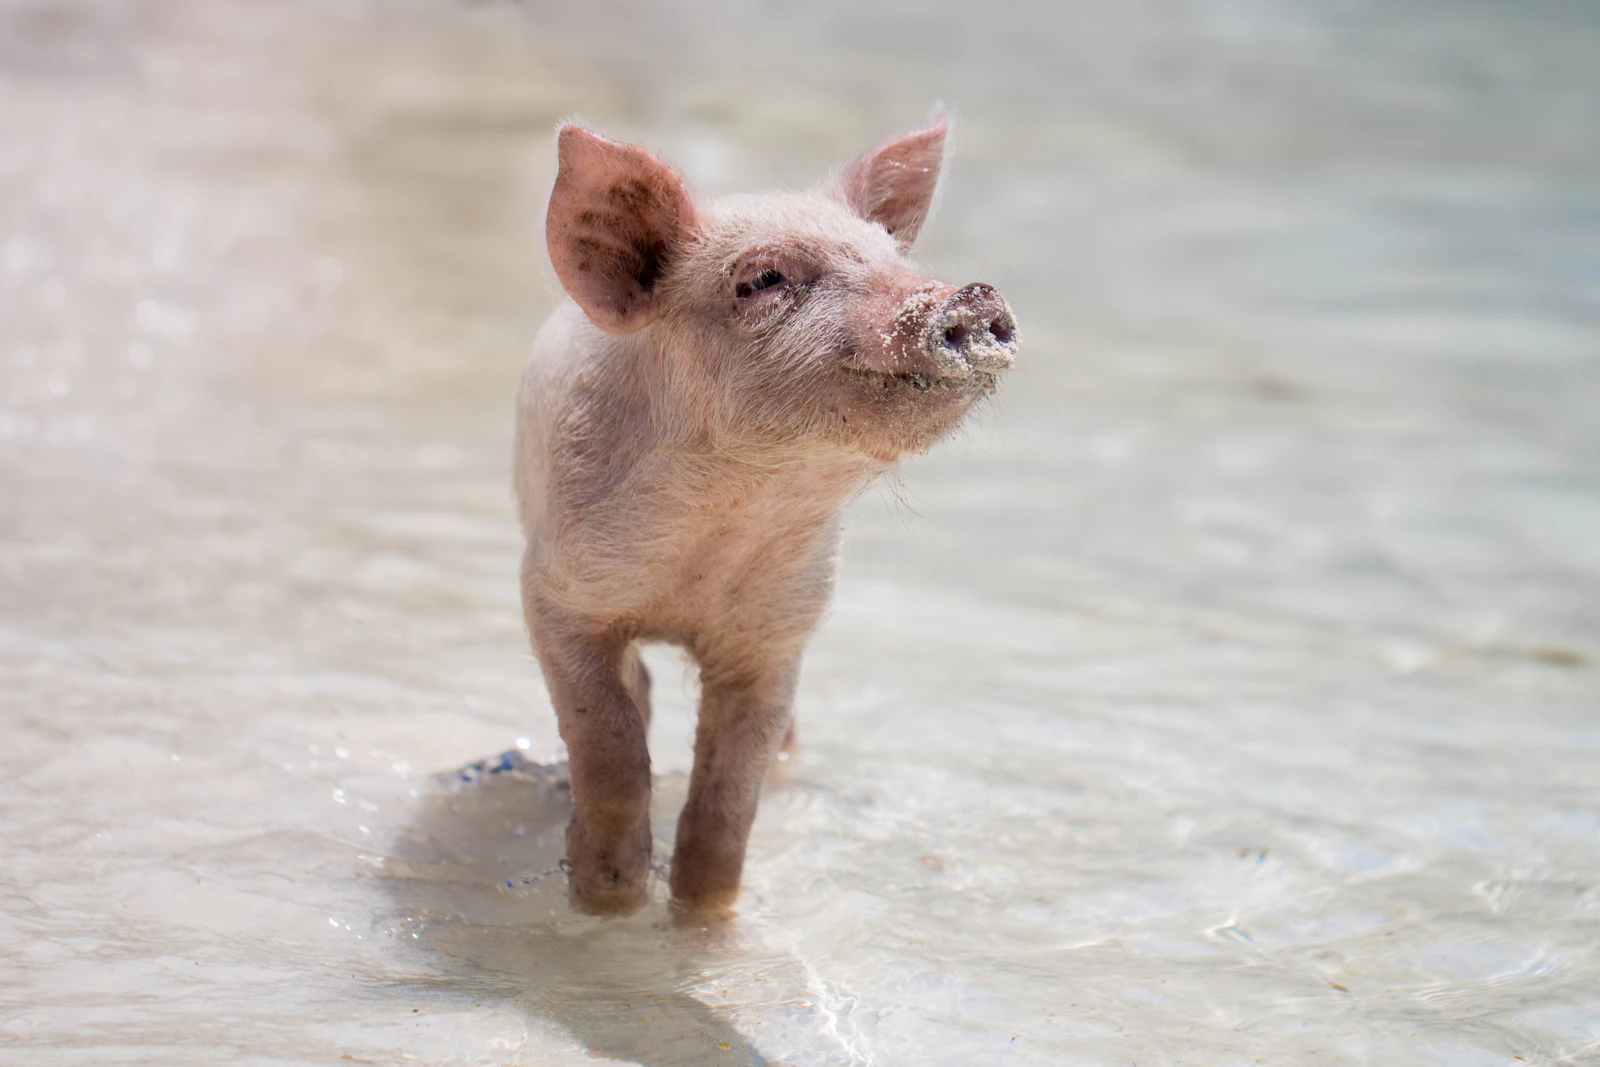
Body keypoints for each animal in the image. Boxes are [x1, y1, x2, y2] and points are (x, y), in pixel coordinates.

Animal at [514, 108, 1017, 916]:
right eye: (762, 279)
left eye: (892, 255)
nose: (970, 297)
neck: (723, 526)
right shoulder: (555, 593)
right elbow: (609, 741)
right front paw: (607, 896)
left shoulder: (779, 632)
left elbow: (729, 796)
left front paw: (701, 914)